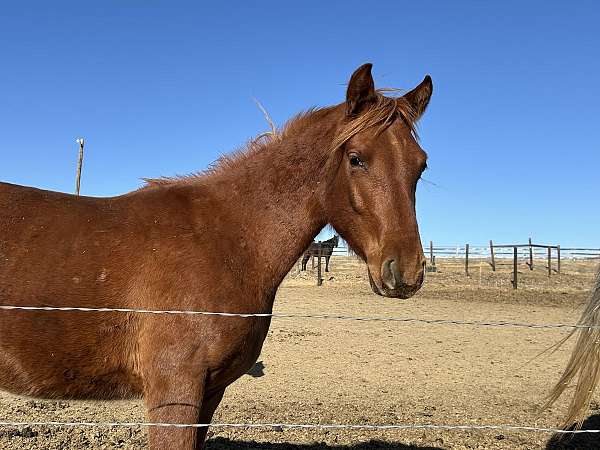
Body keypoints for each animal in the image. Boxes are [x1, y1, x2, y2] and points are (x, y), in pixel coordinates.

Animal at [0, 64, 432, 450]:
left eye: (421, 165)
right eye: (356, 158)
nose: (405, 271)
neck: (229, 240)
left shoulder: (210, 394)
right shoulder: (175, 393)